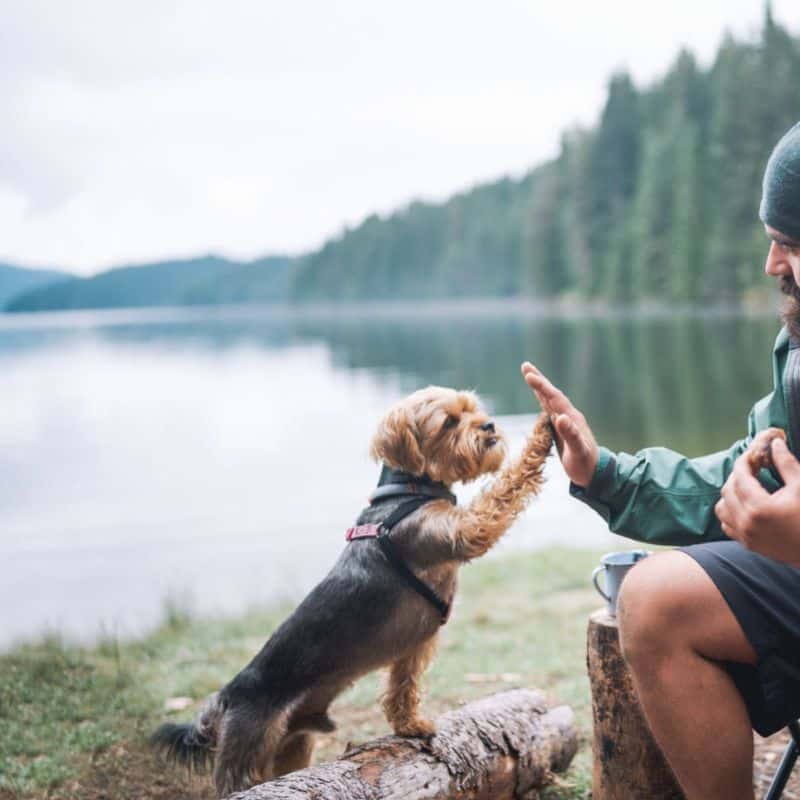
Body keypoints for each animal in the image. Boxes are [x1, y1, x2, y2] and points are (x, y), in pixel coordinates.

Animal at [152, 386, 552, 792]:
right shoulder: (464, 530)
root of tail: (227, 697)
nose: (488, 426)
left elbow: (403, 687)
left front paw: (410, 724)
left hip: (292, 746)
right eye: (449, 422)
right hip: (246, 751)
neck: (409, 491)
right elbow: (504, 489)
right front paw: (544, 430)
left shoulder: (412, 647)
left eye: (472, 409)